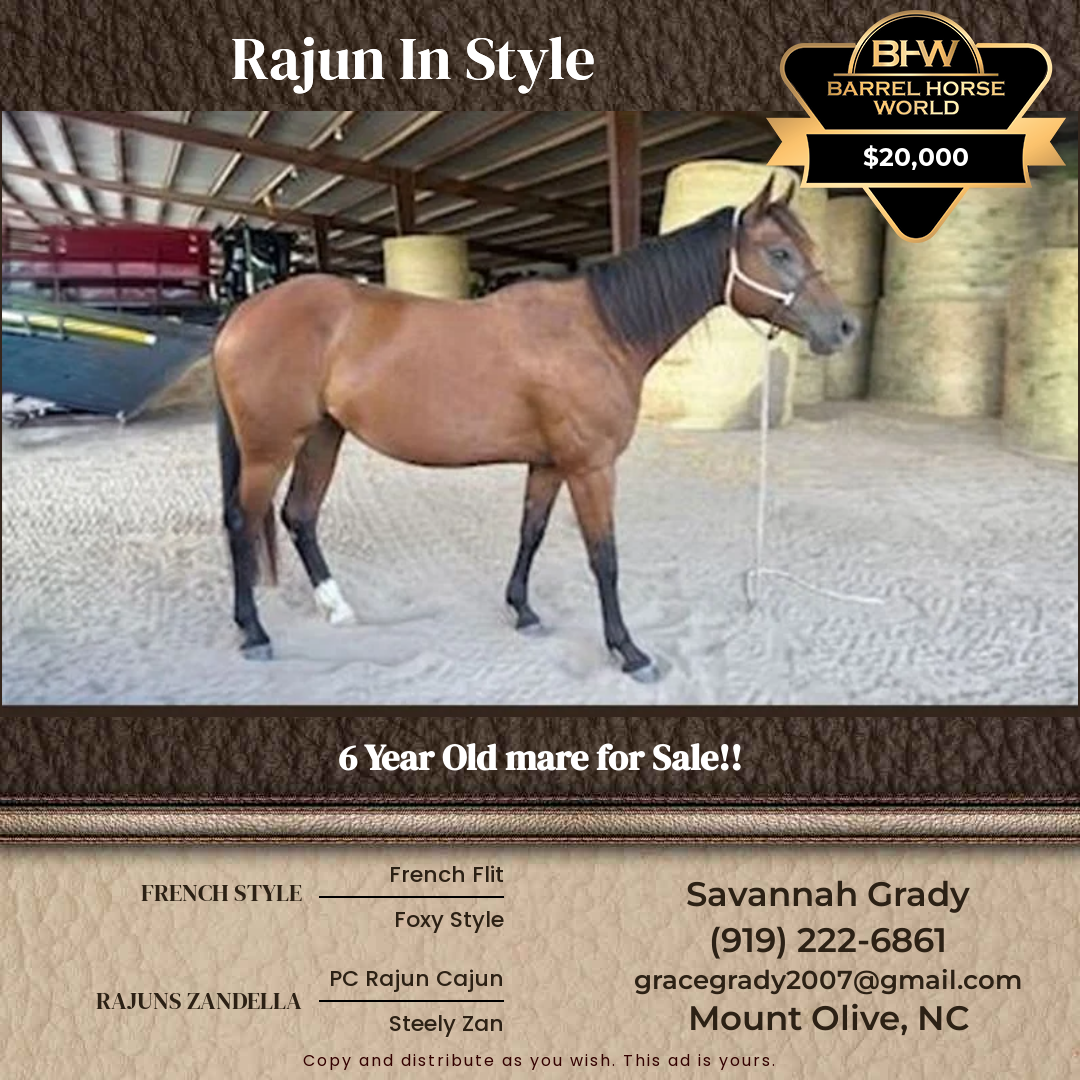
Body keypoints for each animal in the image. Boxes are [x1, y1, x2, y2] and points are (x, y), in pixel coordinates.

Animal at [212, 176, 858, 681]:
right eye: (780, 253)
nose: (845, 326)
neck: (598, 330)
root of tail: (243, 314)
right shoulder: (591, 467)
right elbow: (605, 556)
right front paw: (628, 651)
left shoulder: (550, 463)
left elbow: (532, 532)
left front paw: (523, 611)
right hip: (270, 448)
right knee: (244, 522)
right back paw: (254, 633)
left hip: (323, 435)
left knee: (300, 515)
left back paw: (338, 609)